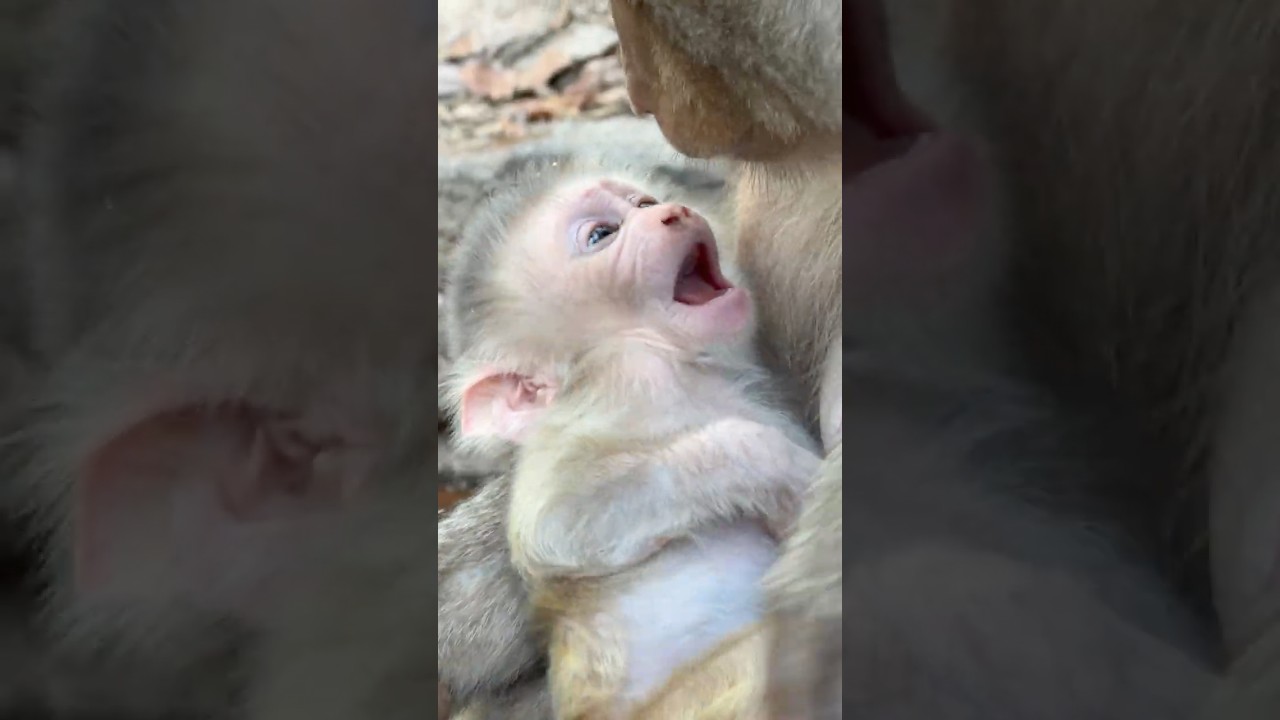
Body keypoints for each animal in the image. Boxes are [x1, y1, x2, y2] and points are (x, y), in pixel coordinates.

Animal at [440, 160, 821, 719]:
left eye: (642, 203)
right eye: (602, 234)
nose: (673, 212)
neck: (687, 363)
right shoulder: (621, 381)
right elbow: (556, 524)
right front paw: (784, 473)